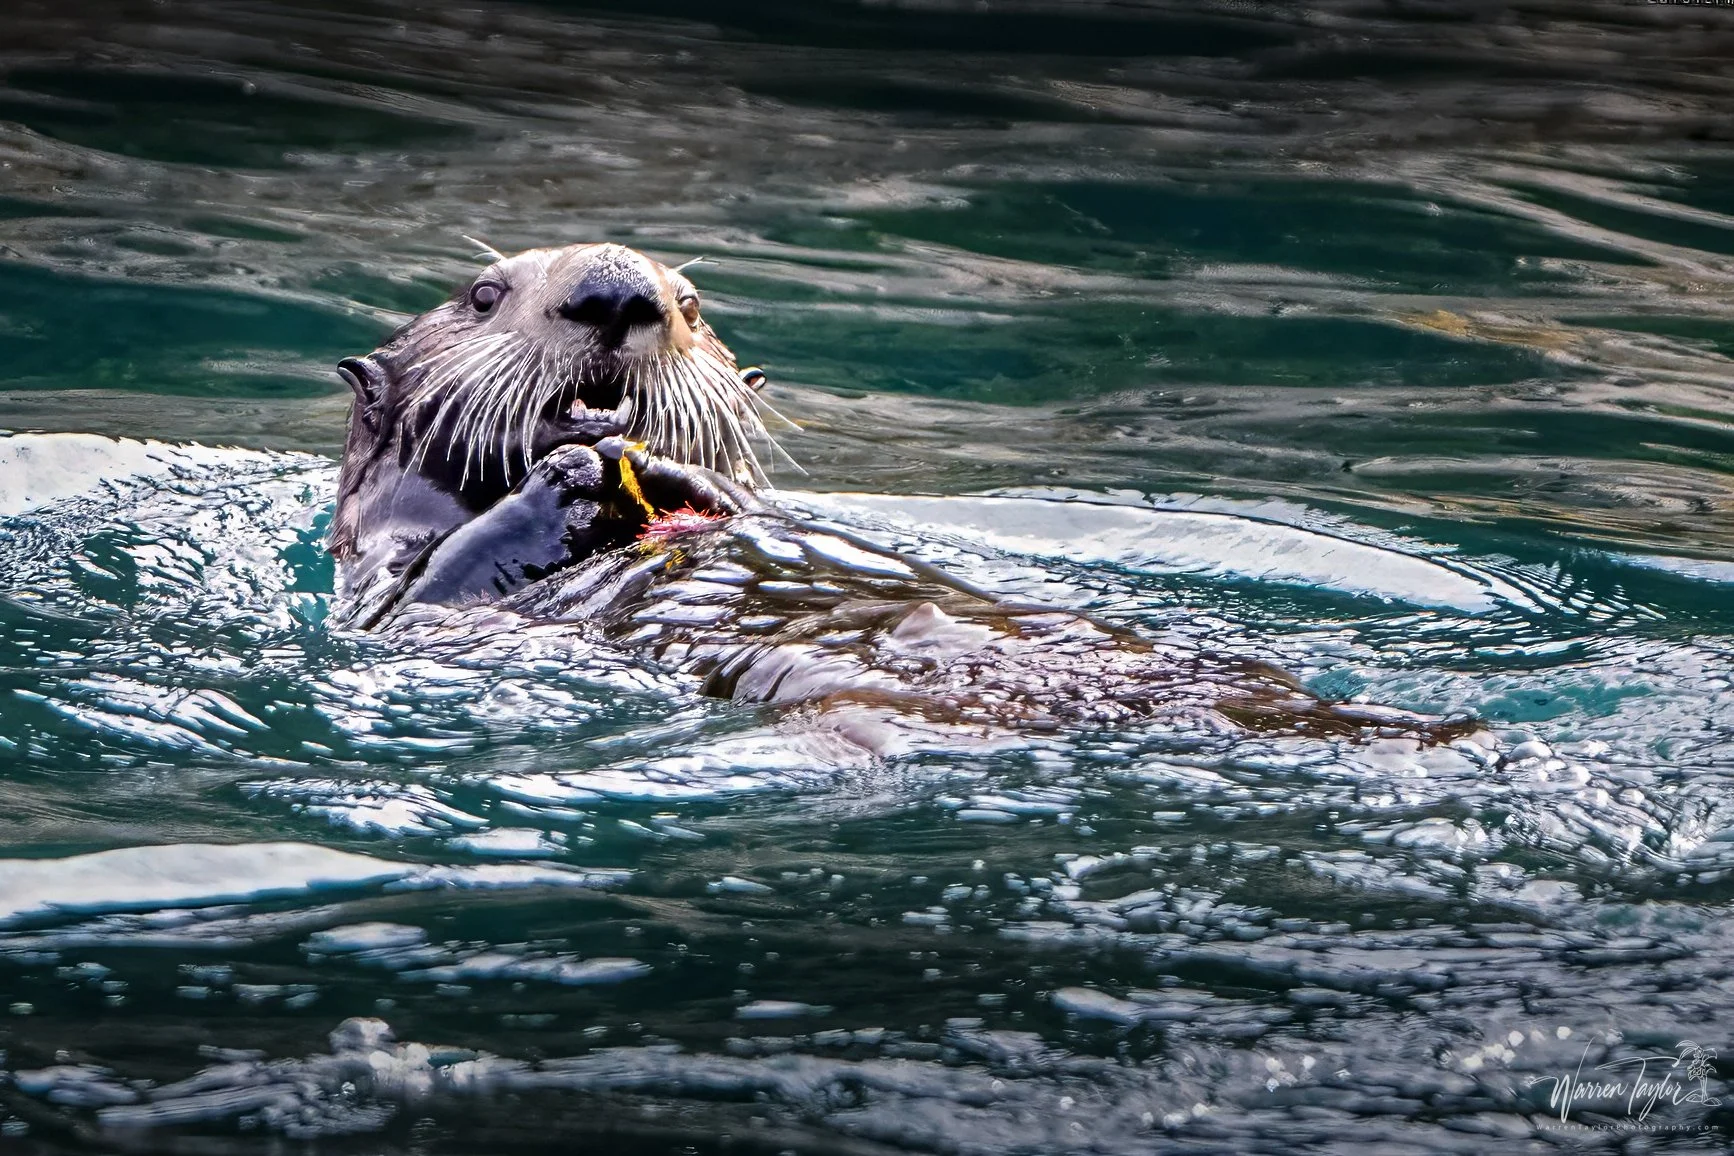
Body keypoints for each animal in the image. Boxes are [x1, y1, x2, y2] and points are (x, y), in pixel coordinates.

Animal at [329, 243, 1477, 743]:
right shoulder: (386, 601)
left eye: (692, 305)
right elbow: (431, 584)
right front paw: (570, 471)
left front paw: (682, 477)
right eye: (484, 294)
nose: (618, 291)